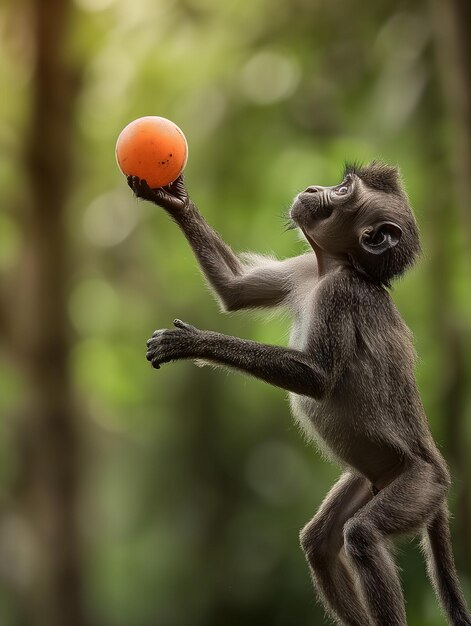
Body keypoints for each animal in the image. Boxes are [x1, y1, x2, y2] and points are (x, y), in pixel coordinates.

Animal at [127, 163, 471, 624]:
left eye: (342, 191)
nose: (312, 188)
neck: (334, 267)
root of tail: (437, 467)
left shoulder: (339, 294)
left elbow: (317, 379)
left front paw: (194, 343)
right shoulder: (306, 268)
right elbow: (235, 290)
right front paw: (173, 197)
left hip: (420, 484)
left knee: (362, 534)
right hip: (371, 479)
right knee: (320, 541)